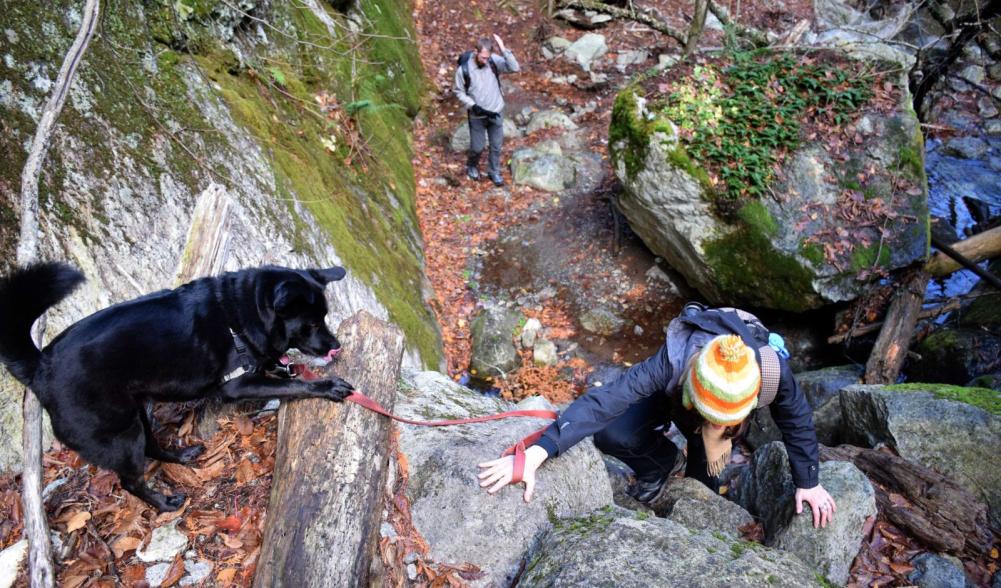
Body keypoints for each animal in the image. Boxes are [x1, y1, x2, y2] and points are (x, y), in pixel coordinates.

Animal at [0, 264, 356, 512]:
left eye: (325, 317)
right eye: (311, 324)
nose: (335, 346)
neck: (243, 314)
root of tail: (41, 367)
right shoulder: (238, 383)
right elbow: (293, 383)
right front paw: (326, 386)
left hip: (138, 412)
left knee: (152, 447)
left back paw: (182, 455)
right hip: (121, 433)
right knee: (130, 480)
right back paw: (163, 503)